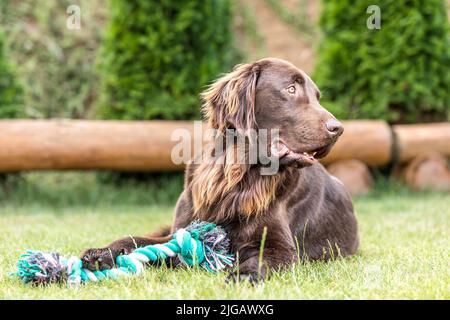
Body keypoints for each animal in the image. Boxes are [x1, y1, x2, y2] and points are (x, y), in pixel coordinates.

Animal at [81, 58, 358, 282]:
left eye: (317, 96)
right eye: (291, 89)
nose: (338, 129)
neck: (236, 175)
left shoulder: (281, 247)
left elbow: (262, 259)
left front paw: (243, 275)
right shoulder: (179, 230)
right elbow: (134, 240)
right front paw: (101, 253)